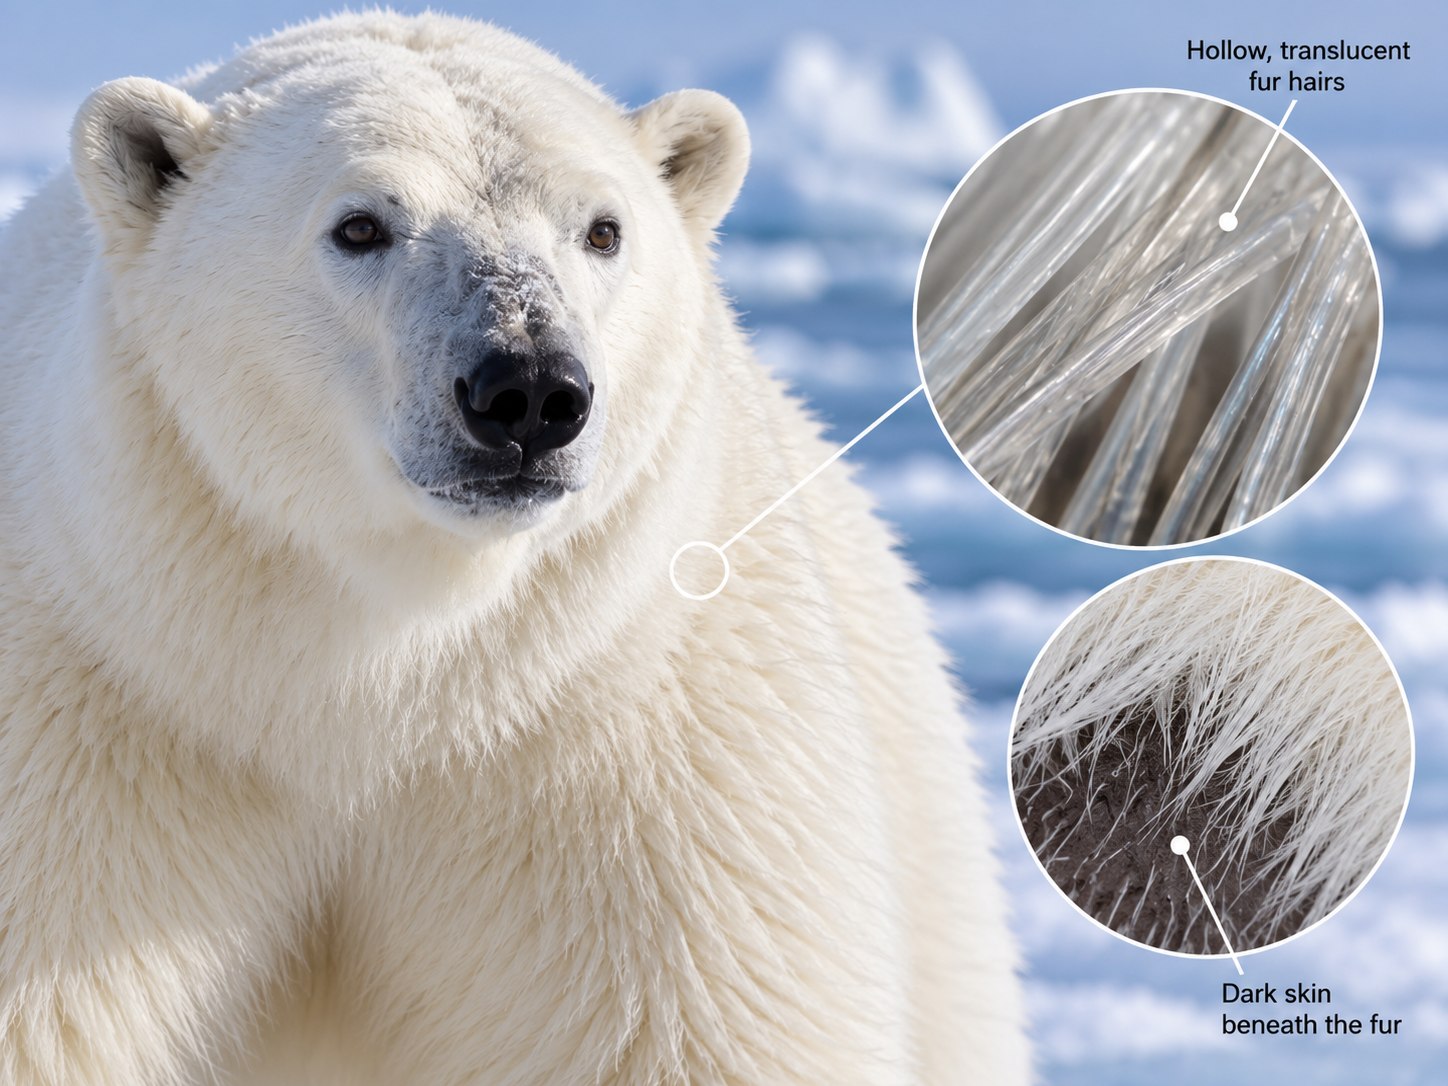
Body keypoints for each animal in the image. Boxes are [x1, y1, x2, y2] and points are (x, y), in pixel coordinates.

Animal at [0, 12, 1026, 1085]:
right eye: (360, 225)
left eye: (604, 228)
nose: (529, 389)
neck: (380, 677)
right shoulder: (101, 730)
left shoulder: (640, 757)